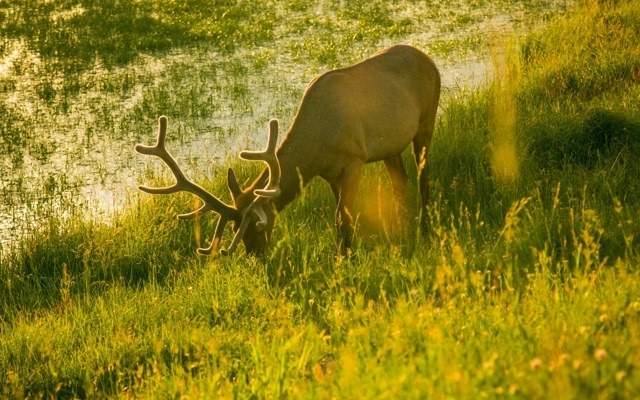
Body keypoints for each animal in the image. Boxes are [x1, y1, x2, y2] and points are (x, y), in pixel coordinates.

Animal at [135, 43, 440, 256]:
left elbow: (342, 217)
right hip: (392, 146)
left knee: (423, 177)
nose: (255, 255)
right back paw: (402, 223)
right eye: (234, 229)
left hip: (427, 120)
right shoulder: (330, 173)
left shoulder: (355, 158)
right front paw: (345, 251)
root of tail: (427, 57)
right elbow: (342, 215)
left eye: (257, 225)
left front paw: (344, 256)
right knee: (401, 181)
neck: (317, 147)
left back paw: (425, 226)